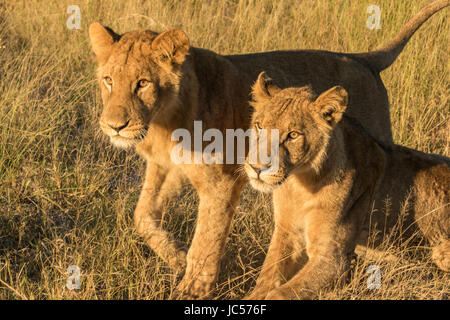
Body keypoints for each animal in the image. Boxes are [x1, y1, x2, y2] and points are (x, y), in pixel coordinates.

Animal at [244, 72, 448, 300]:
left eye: (293, 135)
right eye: (259, 126)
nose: (256, 167)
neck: (298, 185)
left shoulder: (333, 259)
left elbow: (279, 293)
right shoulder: (286, 233)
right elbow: (265, 281)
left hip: (440, 251)